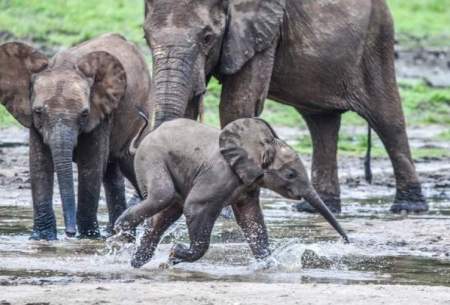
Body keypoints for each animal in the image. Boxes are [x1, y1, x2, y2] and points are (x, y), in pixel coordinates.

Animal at [0, 32, 152, 238]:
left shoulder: (100, 114)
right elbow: (39, 164)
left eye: (85, 114)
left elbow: (90, 166)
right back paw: (116, 233)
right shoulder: (33, 121)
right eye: (38, 111)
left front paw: (87, 237)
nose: (69, 232)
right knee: (112, 172)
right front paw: (42, 238)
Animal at [113, 117, 348, 268]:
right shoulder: (221, 174)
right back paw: (120, 230)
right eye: (291, 174)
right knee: (163, 195)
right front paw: (174, 255)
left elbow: (250, 218)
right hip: (151, 156)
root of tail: (145, 139)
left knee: (167, 212)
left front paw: (268, 265)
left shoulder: (248, 183)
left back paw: (136, 262)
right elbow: (196, 207)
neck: (260, 144)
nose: (346, 242)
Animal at [145, 0, 428, 214]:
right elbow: (189, 107)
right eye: (146, 38)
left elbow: (236, 104)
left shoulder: (259, 33)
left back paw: (408, 207)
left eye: (207, 37)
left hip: (376, 38)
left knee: (386, 117)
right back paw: (315, 208)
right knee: (321, 122)